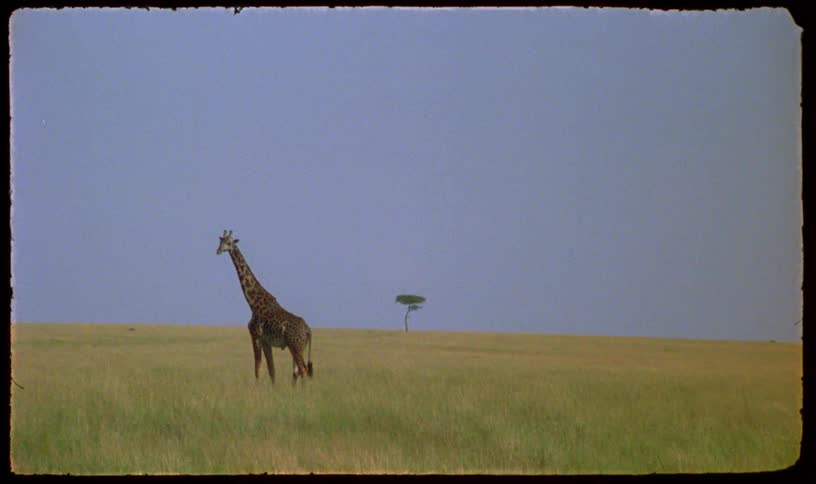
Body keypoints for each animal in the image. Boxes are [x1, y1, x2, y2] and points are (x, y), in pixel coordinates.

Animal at [217, 230, 314, 384]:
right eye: (220, 241)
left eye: (230, 242)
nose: (218, 250)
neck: (252, 302)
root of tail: (308, 330)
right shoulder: (266, 341)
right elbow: (271, 370)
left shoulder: (255, 335)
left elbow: (257, 367)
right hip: (299, 347)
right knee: (297, 372)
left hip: (295, 346)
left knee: (303, 370)